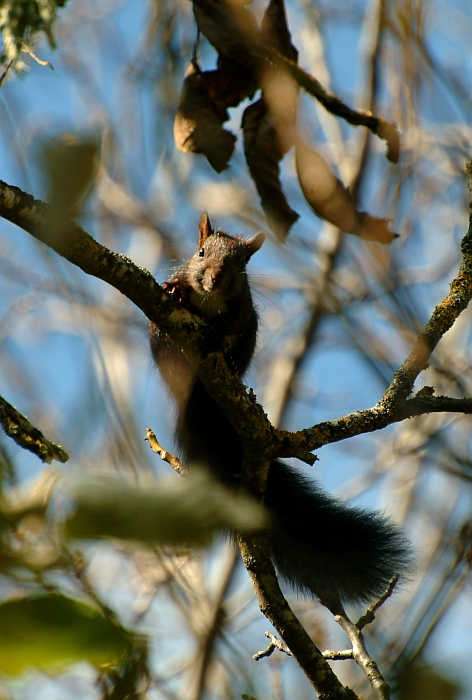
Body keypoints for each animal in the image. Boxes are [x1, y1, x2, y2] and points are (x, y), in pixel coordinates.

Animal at [149, 212, 412, 608]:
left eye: (241, 265)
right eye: (201, 252)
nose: (215, 278)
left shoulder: (243, 313)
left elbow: (231, 325)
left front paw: (219, 337)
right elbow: (176, 292)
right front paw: (176, 290)